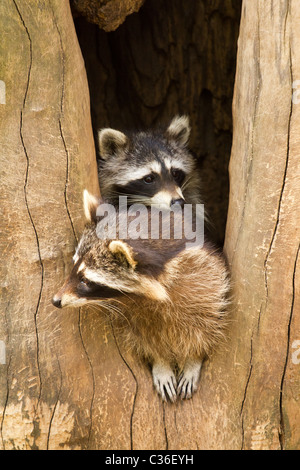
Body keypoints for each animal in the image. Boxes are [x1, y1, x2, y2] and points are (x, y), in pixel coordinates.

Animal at [52, 191, 230, 400]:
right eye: (73, 267)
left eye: (85, 281)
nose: (55, 300)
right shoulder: (134, 310)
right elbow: (145, 335)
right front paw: (160, 361)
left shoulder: (206, 276)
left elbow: (206, 324)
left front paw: (193, 358)